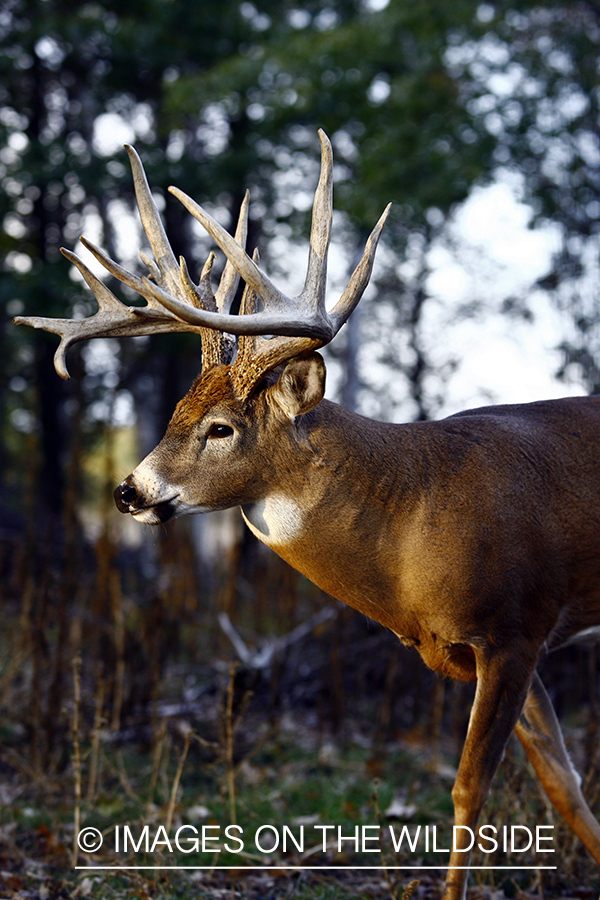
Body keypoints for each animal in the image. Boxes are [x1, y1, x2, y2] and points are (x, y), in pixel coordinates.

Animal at [14, 130, 600, 896]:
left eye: (222, 429)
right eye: (174, 413)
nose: (128, 492)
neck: (415, 513)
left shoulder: (515, 627)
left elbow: (471, 786)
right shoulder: (517, 647)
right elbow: (566, 785)